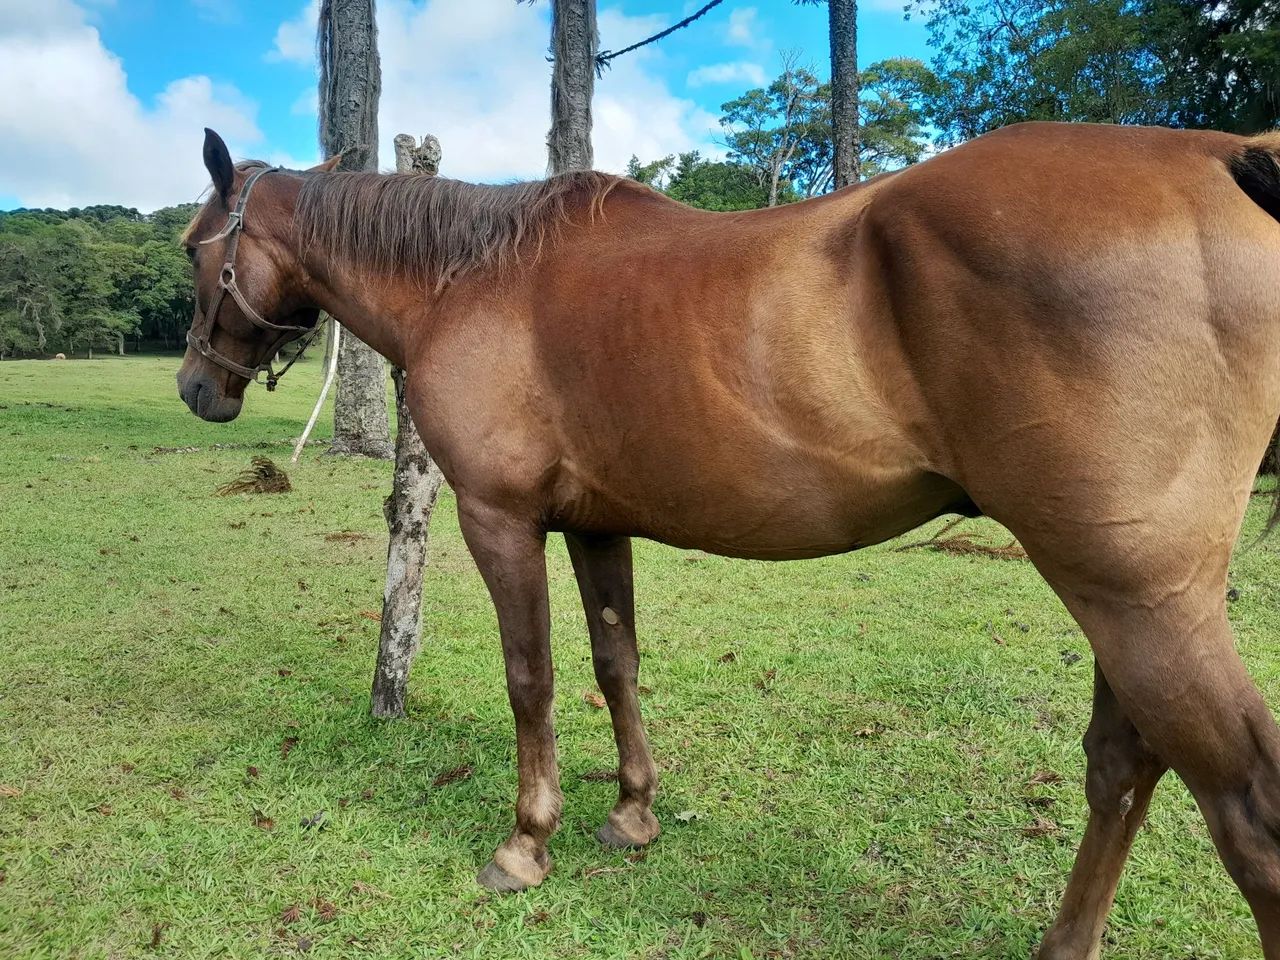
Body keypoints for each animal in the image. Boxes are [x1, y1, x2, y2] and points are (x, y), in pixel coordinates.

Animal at [176, 123, 1280, 958]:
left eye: (193, 249)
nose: (195, 386)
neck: (471, 279)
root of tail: (1213, 154)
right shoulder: (595, 524)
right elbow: (614, 663)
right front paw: (631, 814)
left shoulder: (500, 519)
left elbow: (532, 677)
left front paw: (526, 843)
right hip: (1120, 597)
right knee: (1120, 769)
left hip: (1134, 597)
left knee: (1244, 812)